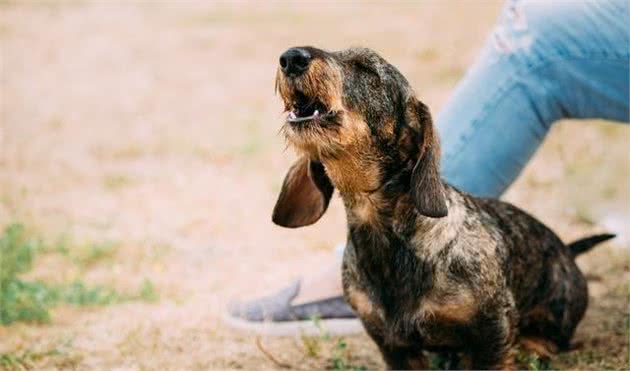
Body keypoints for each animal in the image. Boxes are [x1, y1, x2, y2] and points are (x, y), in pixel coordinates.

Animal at [272, 45, 616, 370]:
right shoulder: (393, 346)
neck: (388, 240)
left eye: (367, 68)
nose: (291, 57)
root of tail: (568, 250)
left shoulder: (493, 331)